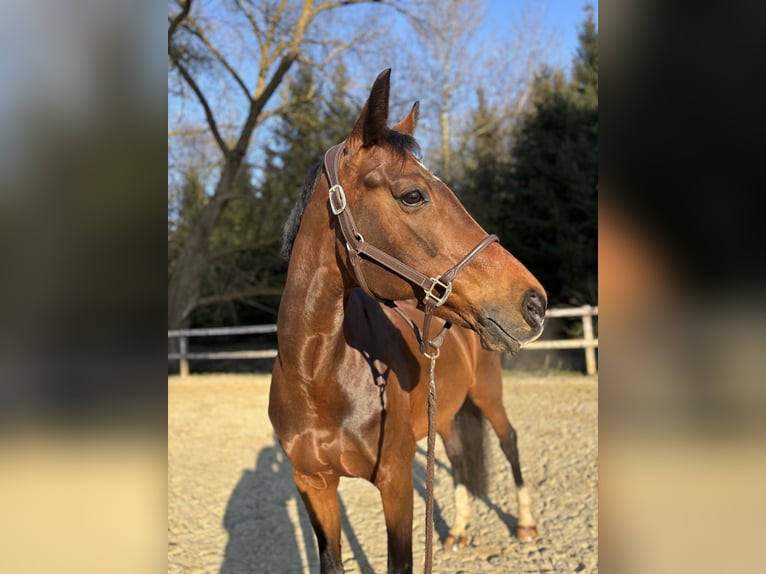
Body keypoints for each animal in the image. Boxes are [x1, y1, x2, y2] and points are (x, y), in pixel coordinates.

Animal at [270, 70, 544, 572]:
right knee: (457, 455)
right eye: (413, 195)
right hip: (449, 409)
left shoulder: (395, 484)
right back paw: (458, 531)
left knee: (509, 440)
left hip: (488, 394)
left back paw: (526, 524)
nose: (535, 302)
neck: (316, 375)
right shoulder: (313, 486)